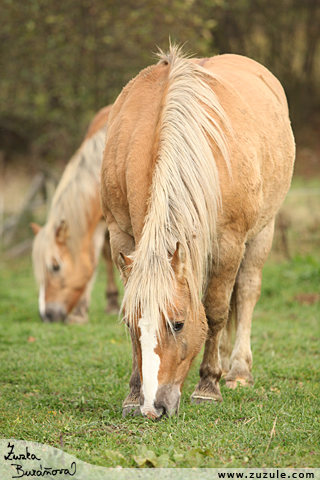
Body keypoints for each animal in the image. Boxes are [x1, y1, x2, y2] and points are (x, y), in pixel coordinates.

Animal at [100, 47, 296, 418]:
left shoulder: (229, 242)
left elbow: (216, 312)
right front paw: (132, 394)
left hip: (262, 232)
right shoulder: (121, 235)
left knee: (245, 293)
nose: (154, 408)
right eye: (133, 324)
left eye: (177, 323)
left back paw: (237, 371)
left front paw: (208, 387)